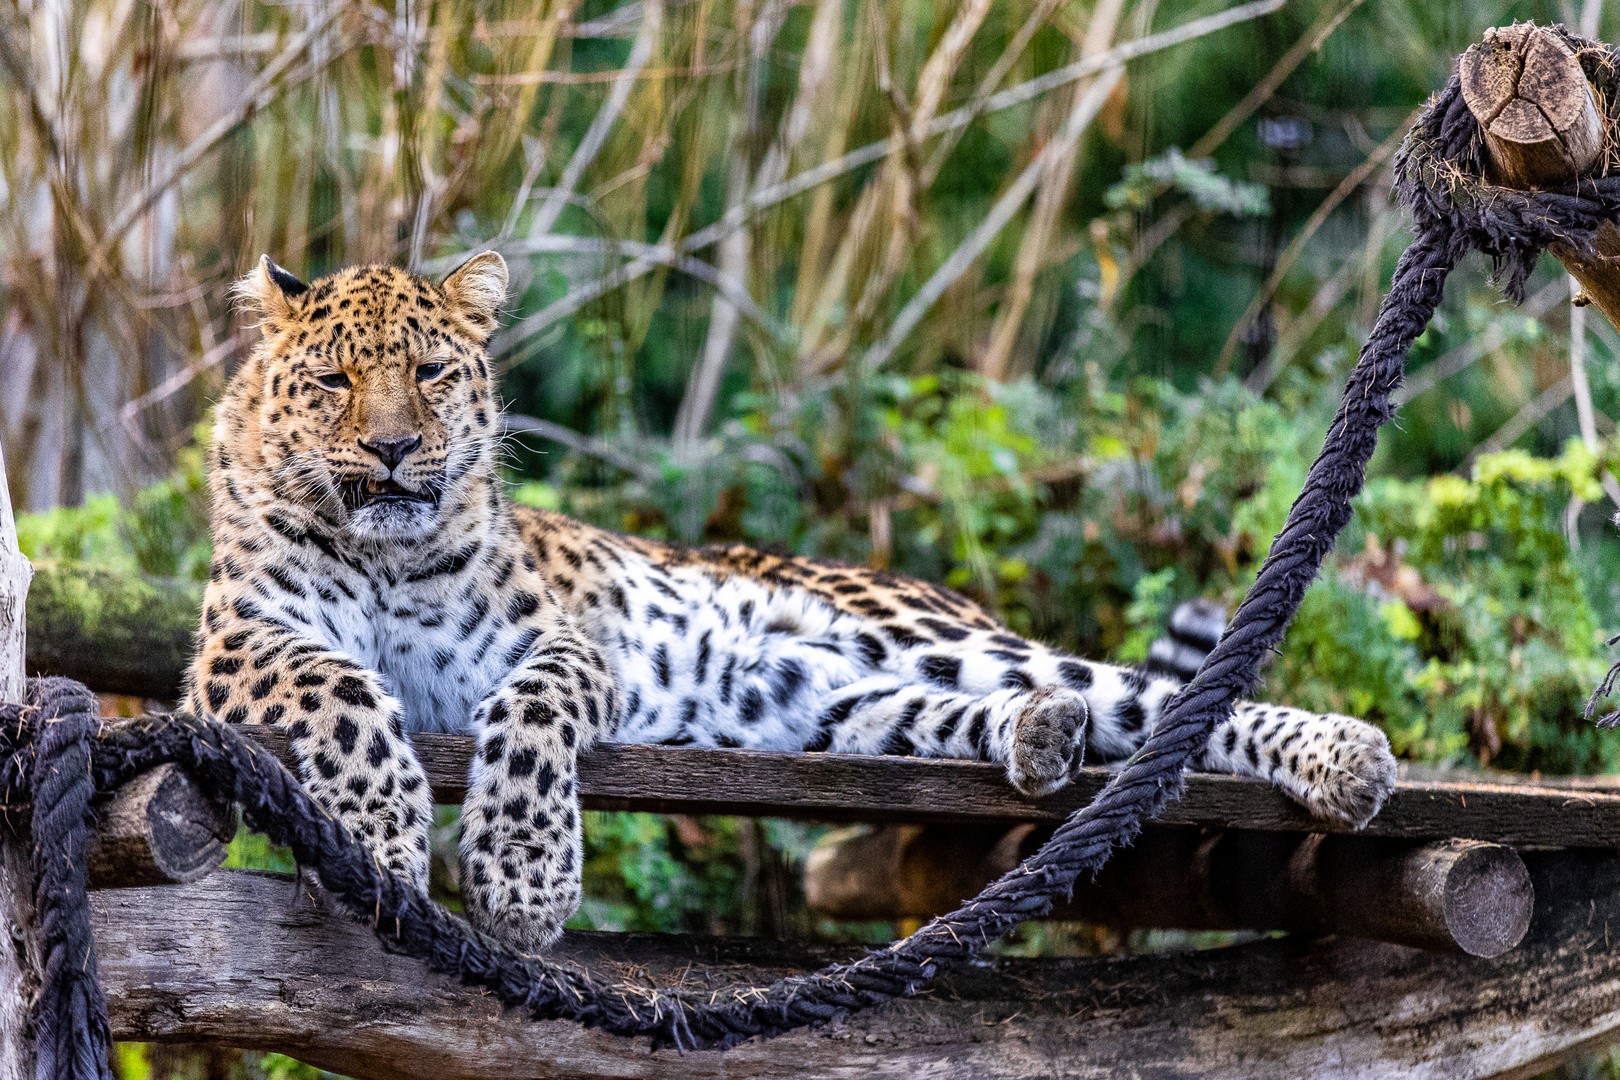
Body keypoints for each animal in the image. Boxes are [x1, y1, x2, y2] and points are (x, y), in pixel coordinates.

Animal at [186, 254, 1406, 952]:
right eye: (336, 380)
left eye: (433, 374)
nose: (395, 450)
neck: (387, 553)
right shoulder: (238, 649)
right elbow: (345, 688)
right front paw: (382, 841)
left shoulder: (566, 645)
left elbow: (528, 720)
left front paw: (525, 878)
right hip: (820, 701)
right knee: (1016, 712)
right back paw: (1040, 739)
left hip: (924, 635)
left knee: (1155, 699)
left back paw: (1344, 759)